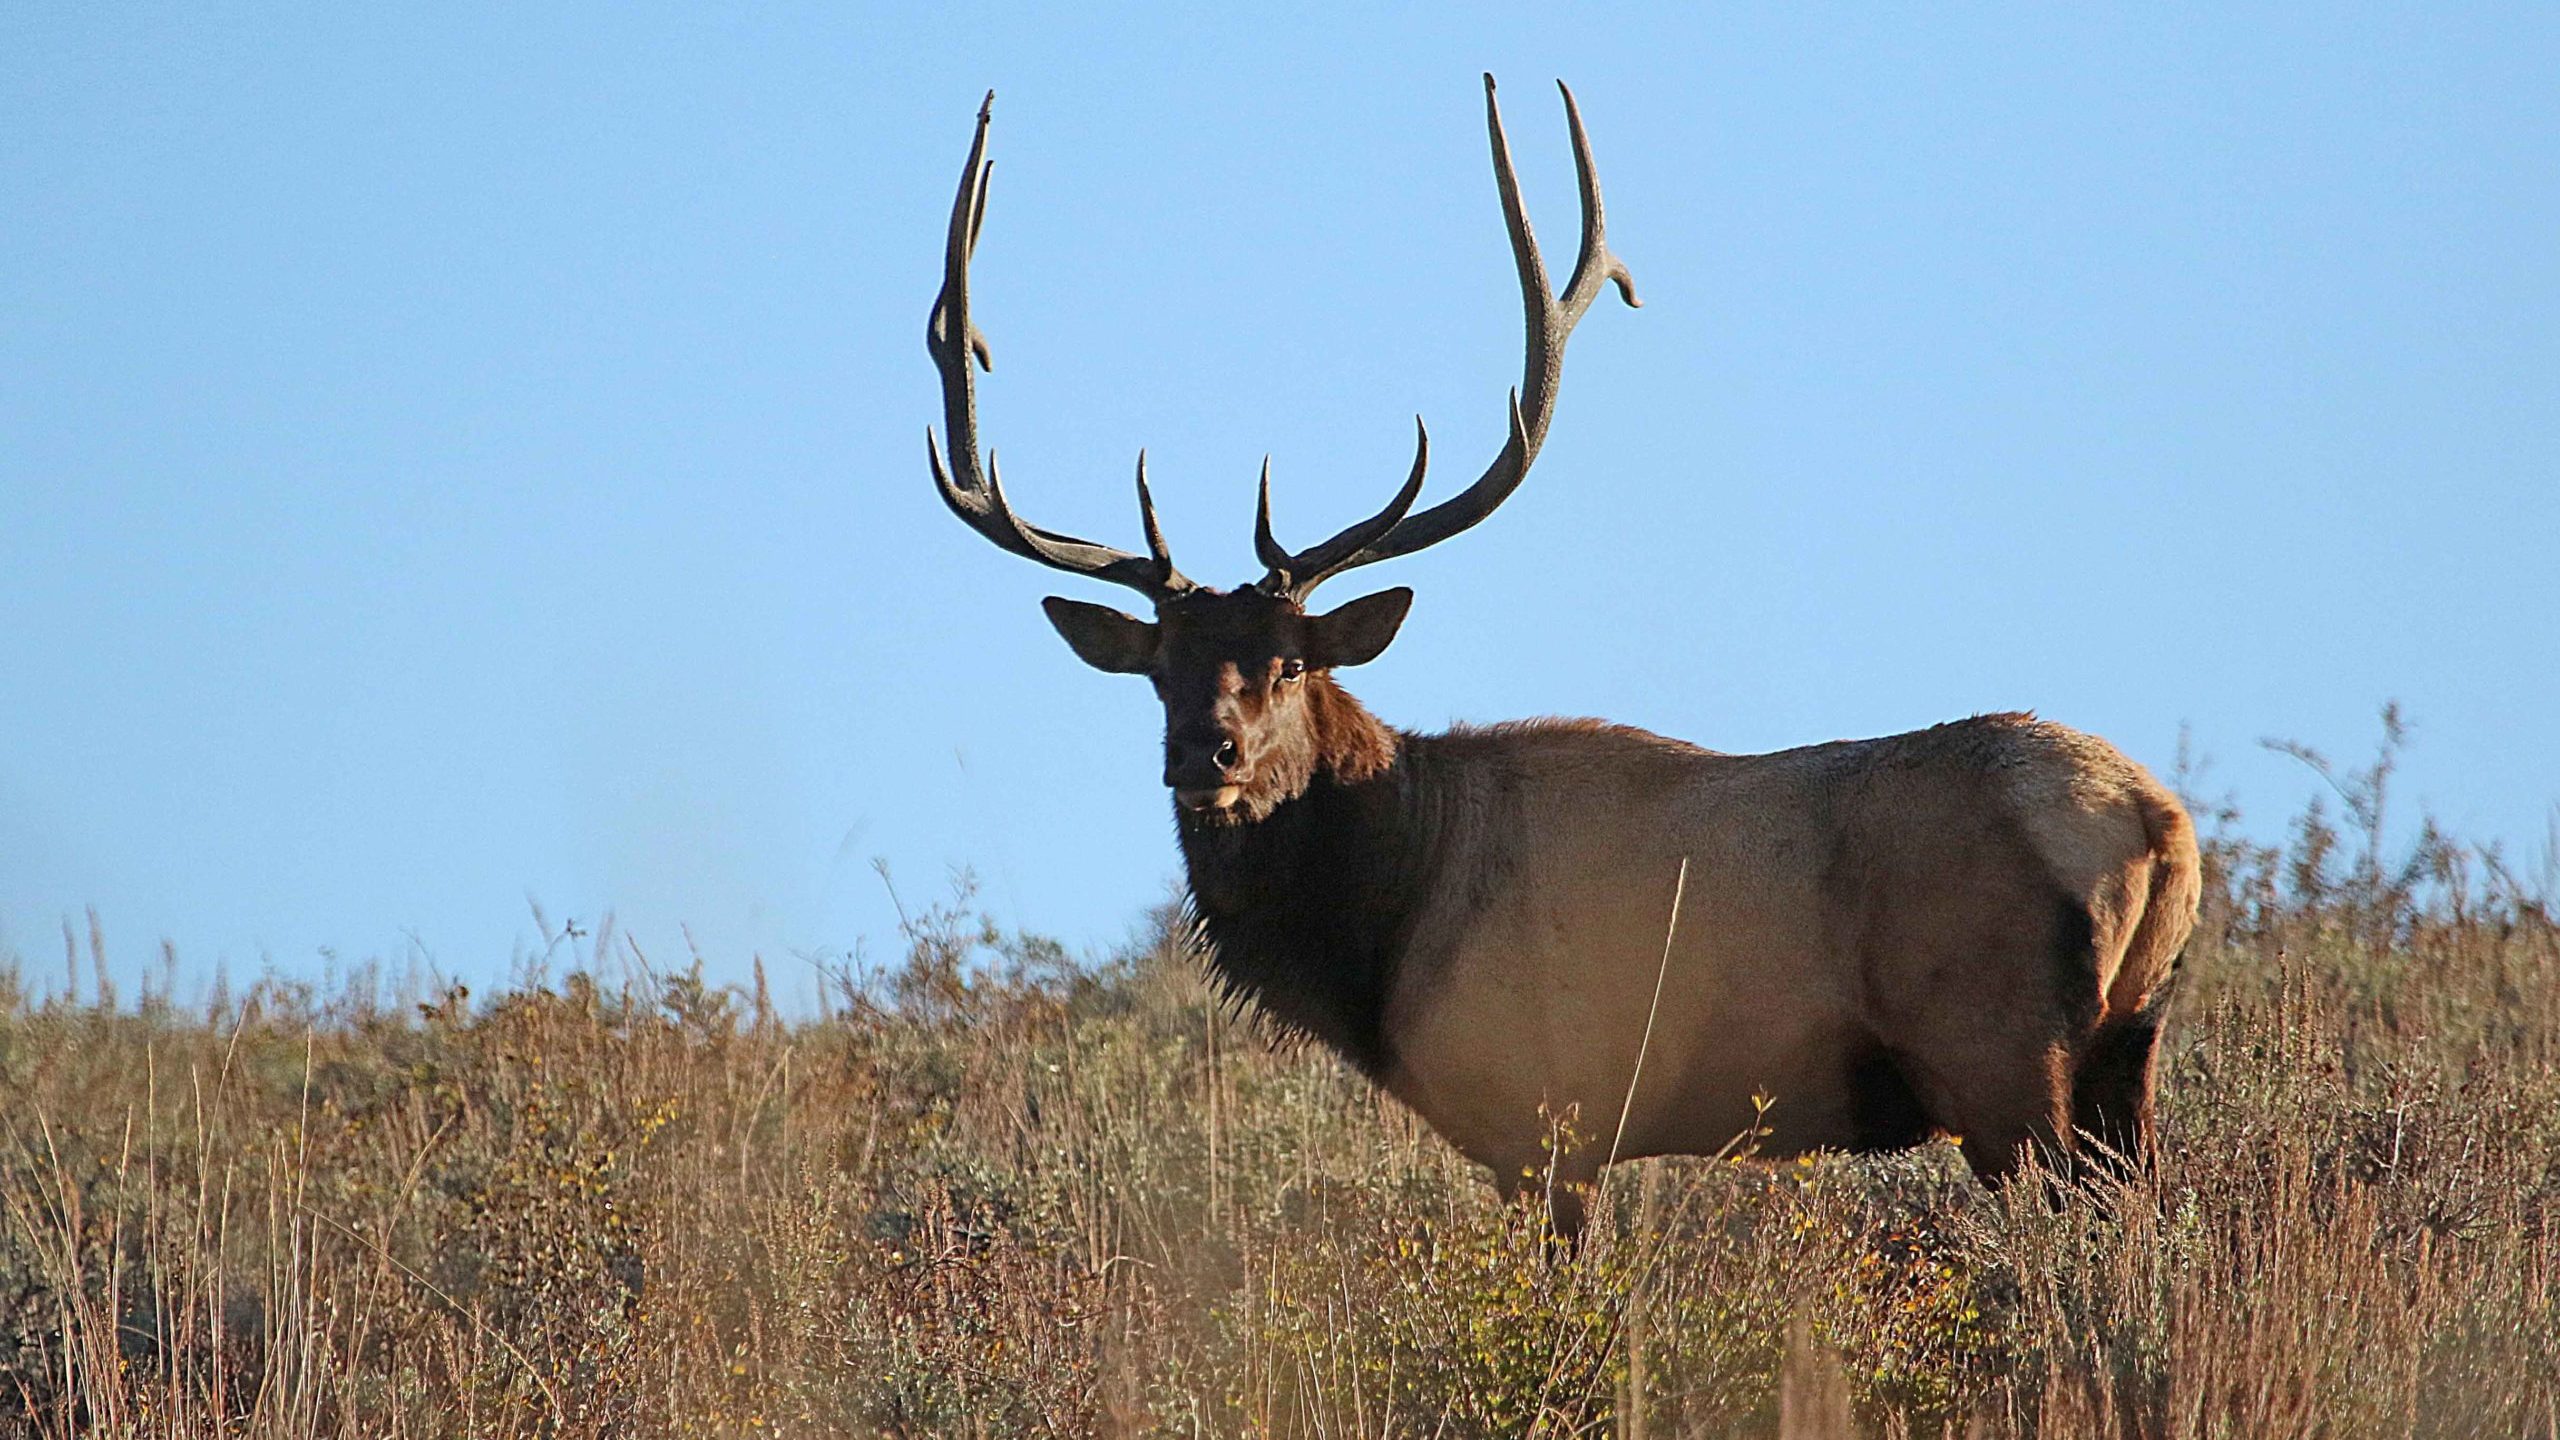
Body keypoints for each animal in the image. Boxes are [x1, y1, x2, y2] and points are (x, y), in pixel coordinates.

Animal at [921, 77, 2201, 1238]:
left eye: (1289, 664)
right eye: (1160, 669)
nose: (1205, 753)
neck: (1386, 927)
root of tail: (2158, 820)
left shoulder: (1548, 1110)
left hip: (1997, 1050)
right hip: (2122, 1050)